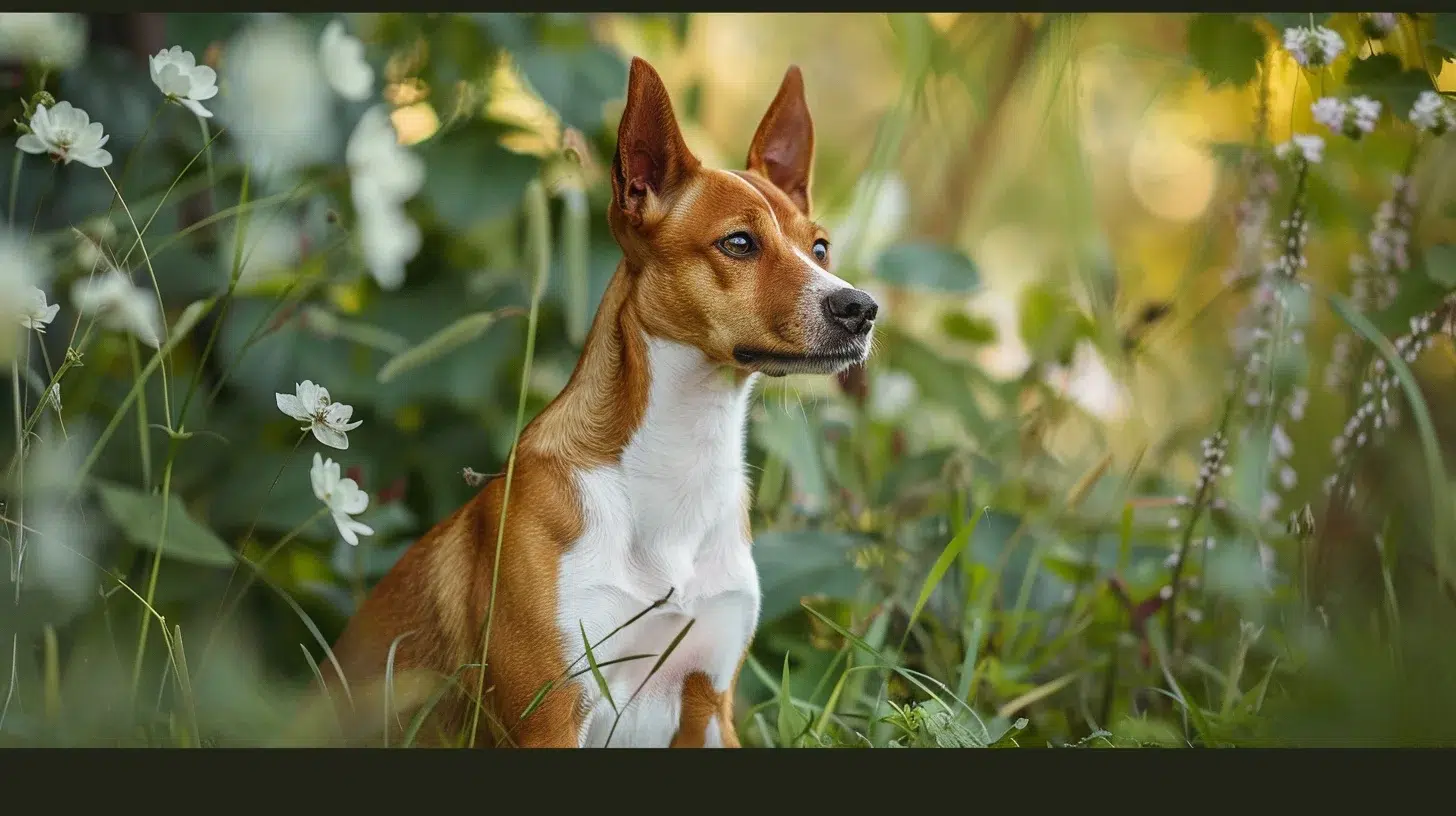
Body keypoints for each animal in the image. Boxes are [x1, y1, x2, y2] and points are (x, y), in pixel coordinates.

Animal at [318, 55, 879, 746]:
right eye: (739, 243)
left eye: (820, 248)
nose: (860, 308)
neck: (678, 468)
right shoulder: (552, 712)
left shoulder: (709, 702)